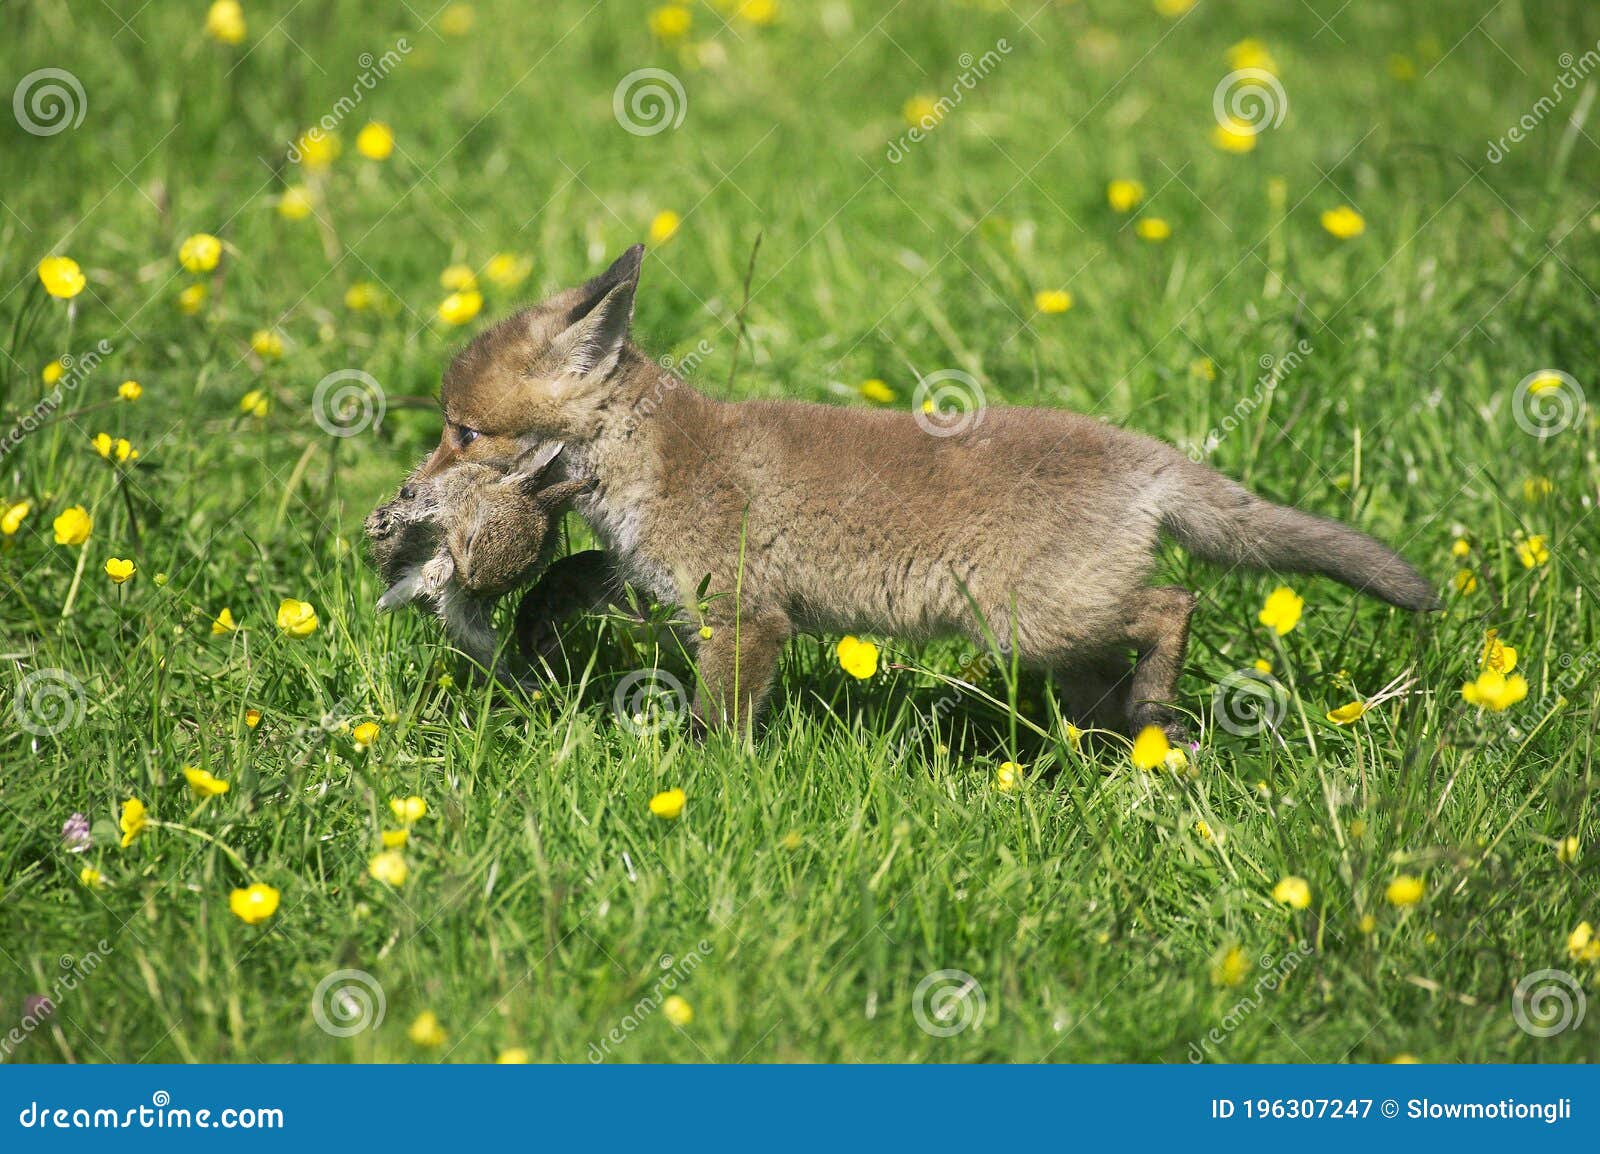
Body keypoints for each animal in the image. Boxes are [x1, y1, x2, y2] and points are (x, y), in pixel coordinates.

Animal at [418, 245, 1435, 737]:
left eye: (461, 432)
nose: (405, 496)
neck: (652, 458)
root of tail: (1145, 455)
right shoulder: (665, 582)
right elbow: (572, 575)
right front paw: (534, 635)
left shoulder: (748, 616)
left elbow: (718, 724)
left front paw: (705, 785)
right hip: (1058, 643)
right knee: (1115, 674)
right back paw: (1127, 743)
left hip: (1033, 622)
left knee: (1174, 602)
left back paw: (1155, 712)